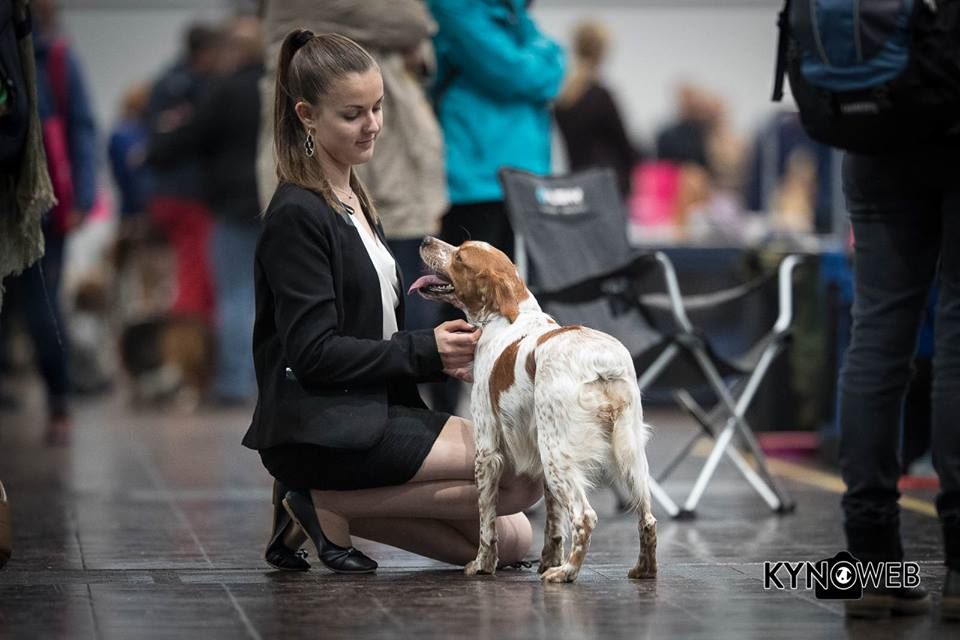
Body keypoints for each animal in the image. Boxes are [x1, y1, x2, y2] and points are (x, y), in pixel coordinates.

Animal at [408, 238, 656, 584]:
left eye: (459, 257)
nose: (425, 240)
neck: (505, 317)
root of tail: (601, 363)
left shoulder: (487, 449)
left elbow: (487, 522)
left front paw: (483, 564)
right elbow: (553, 522)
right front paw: (546, 558)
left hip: (559, 454)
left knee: (585, 517)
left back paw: (565, 572)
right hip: (628, 453)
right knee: (647, 517)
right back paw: (644, 570)